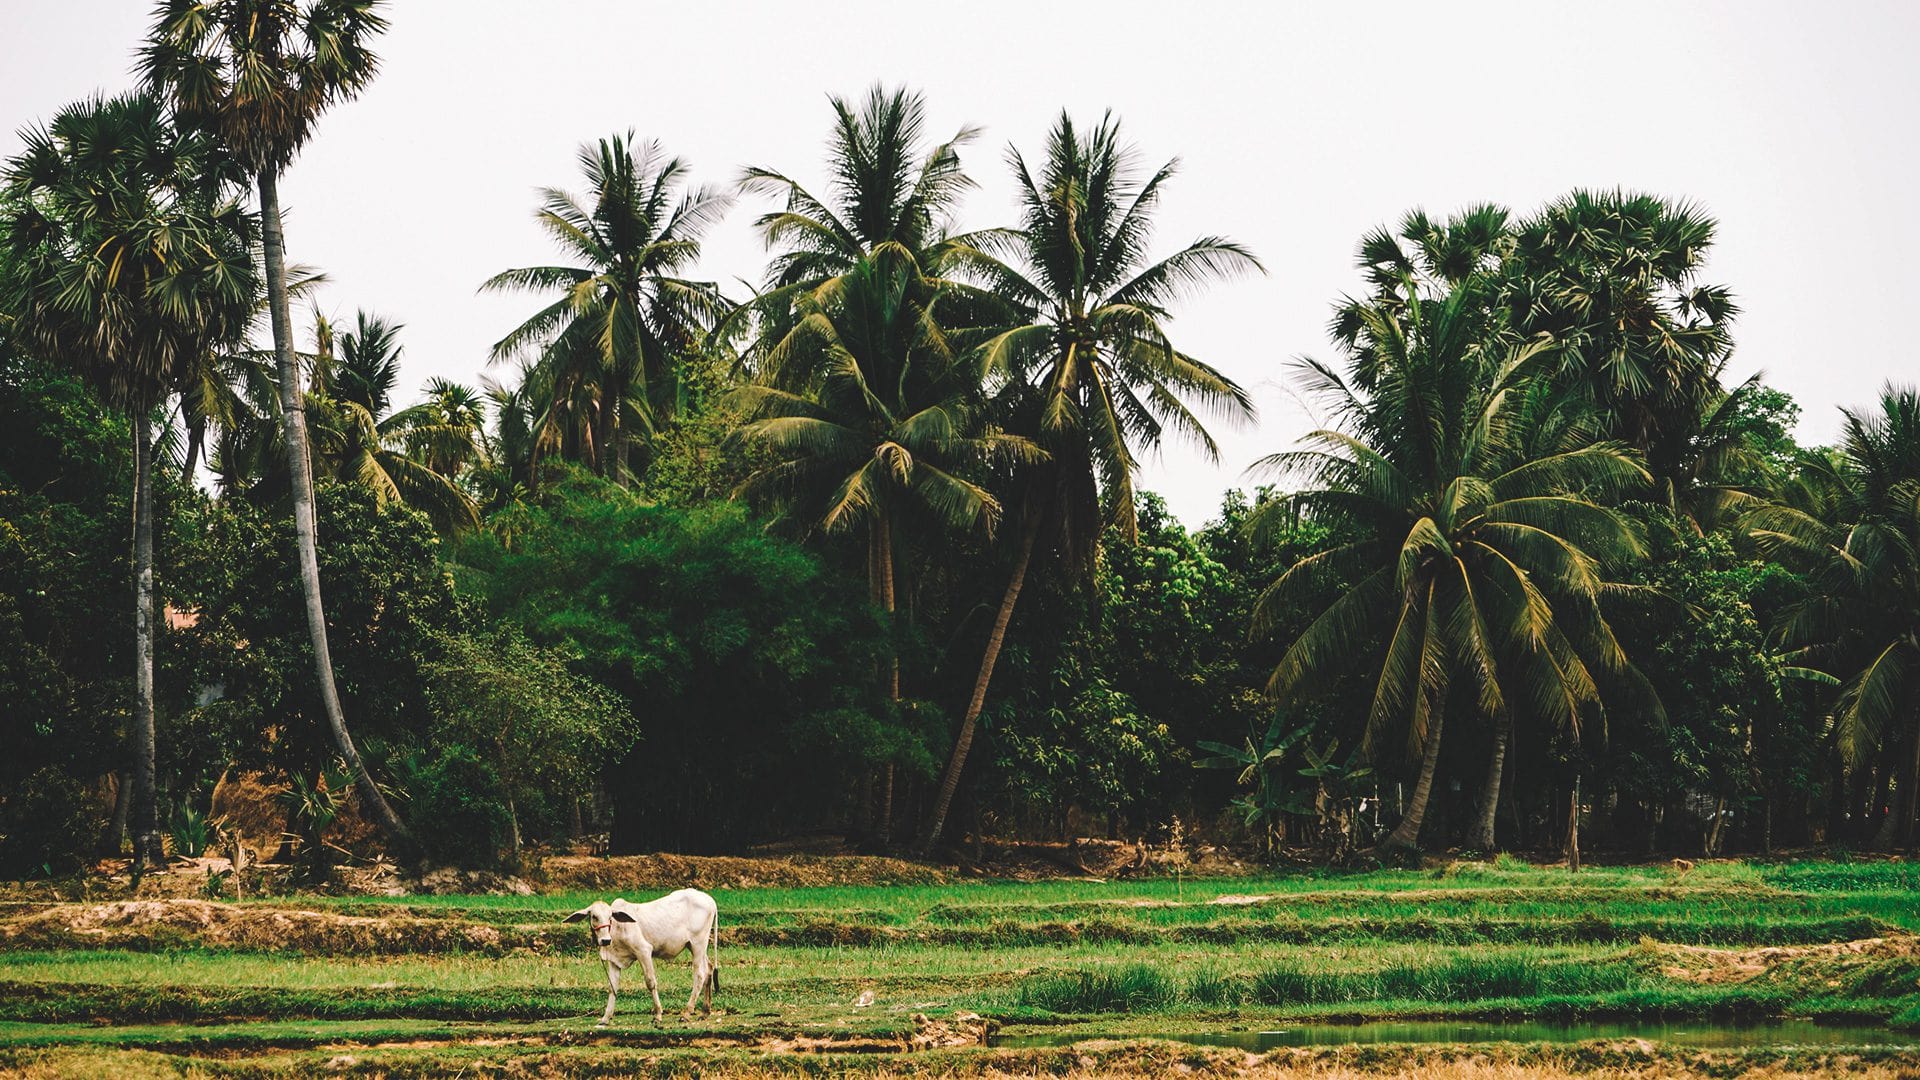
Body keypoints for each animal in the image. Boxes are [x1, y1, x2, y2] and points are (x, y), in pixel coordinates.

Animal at [568, 887, 725, 1022]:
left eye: (610, 916)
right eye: (594, 916)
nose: (605, 940)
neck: (617, 928)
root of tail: (711, 901)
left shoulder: (643, 950)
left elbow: (650, 982)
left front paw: (658, 1015)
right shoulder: (614, 960)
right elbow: (612, 987)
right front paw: (605, 1018)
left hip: (698, 944)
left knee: (699, 974)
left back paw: (686, 1013)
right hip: (696, 946)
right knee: (709, 969)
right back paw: (705, 1012)